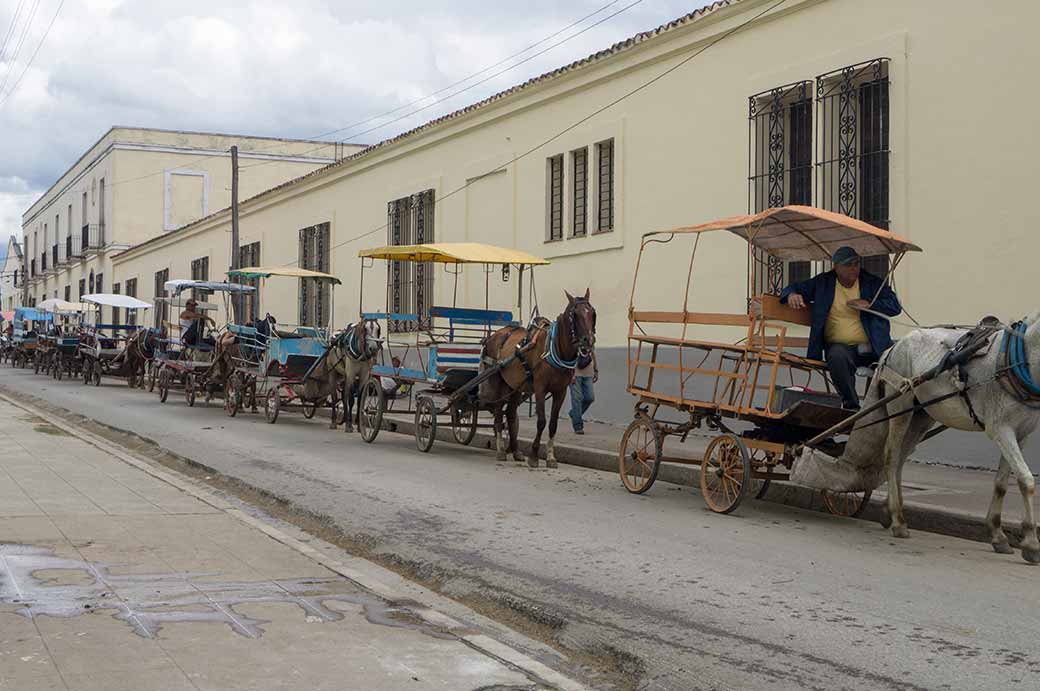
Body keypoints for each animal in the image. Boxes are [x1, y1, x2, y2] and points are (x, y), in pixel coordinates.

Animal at [476, 289, 594, 466]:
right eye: (575, 314)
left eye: (592, 313)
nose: (589, 340)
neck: (555, 349)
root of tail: (494, 335)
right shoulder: (540, 388)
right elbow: (541, 421)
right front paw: (533, 455)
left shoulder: (560, 391)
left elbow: (553, 424)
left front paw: (551, 457)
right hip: (498, 383)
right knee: (498, 414)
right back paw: (501, 450)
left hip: (515, 386)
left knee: (510, 414)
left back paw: (516, 451)